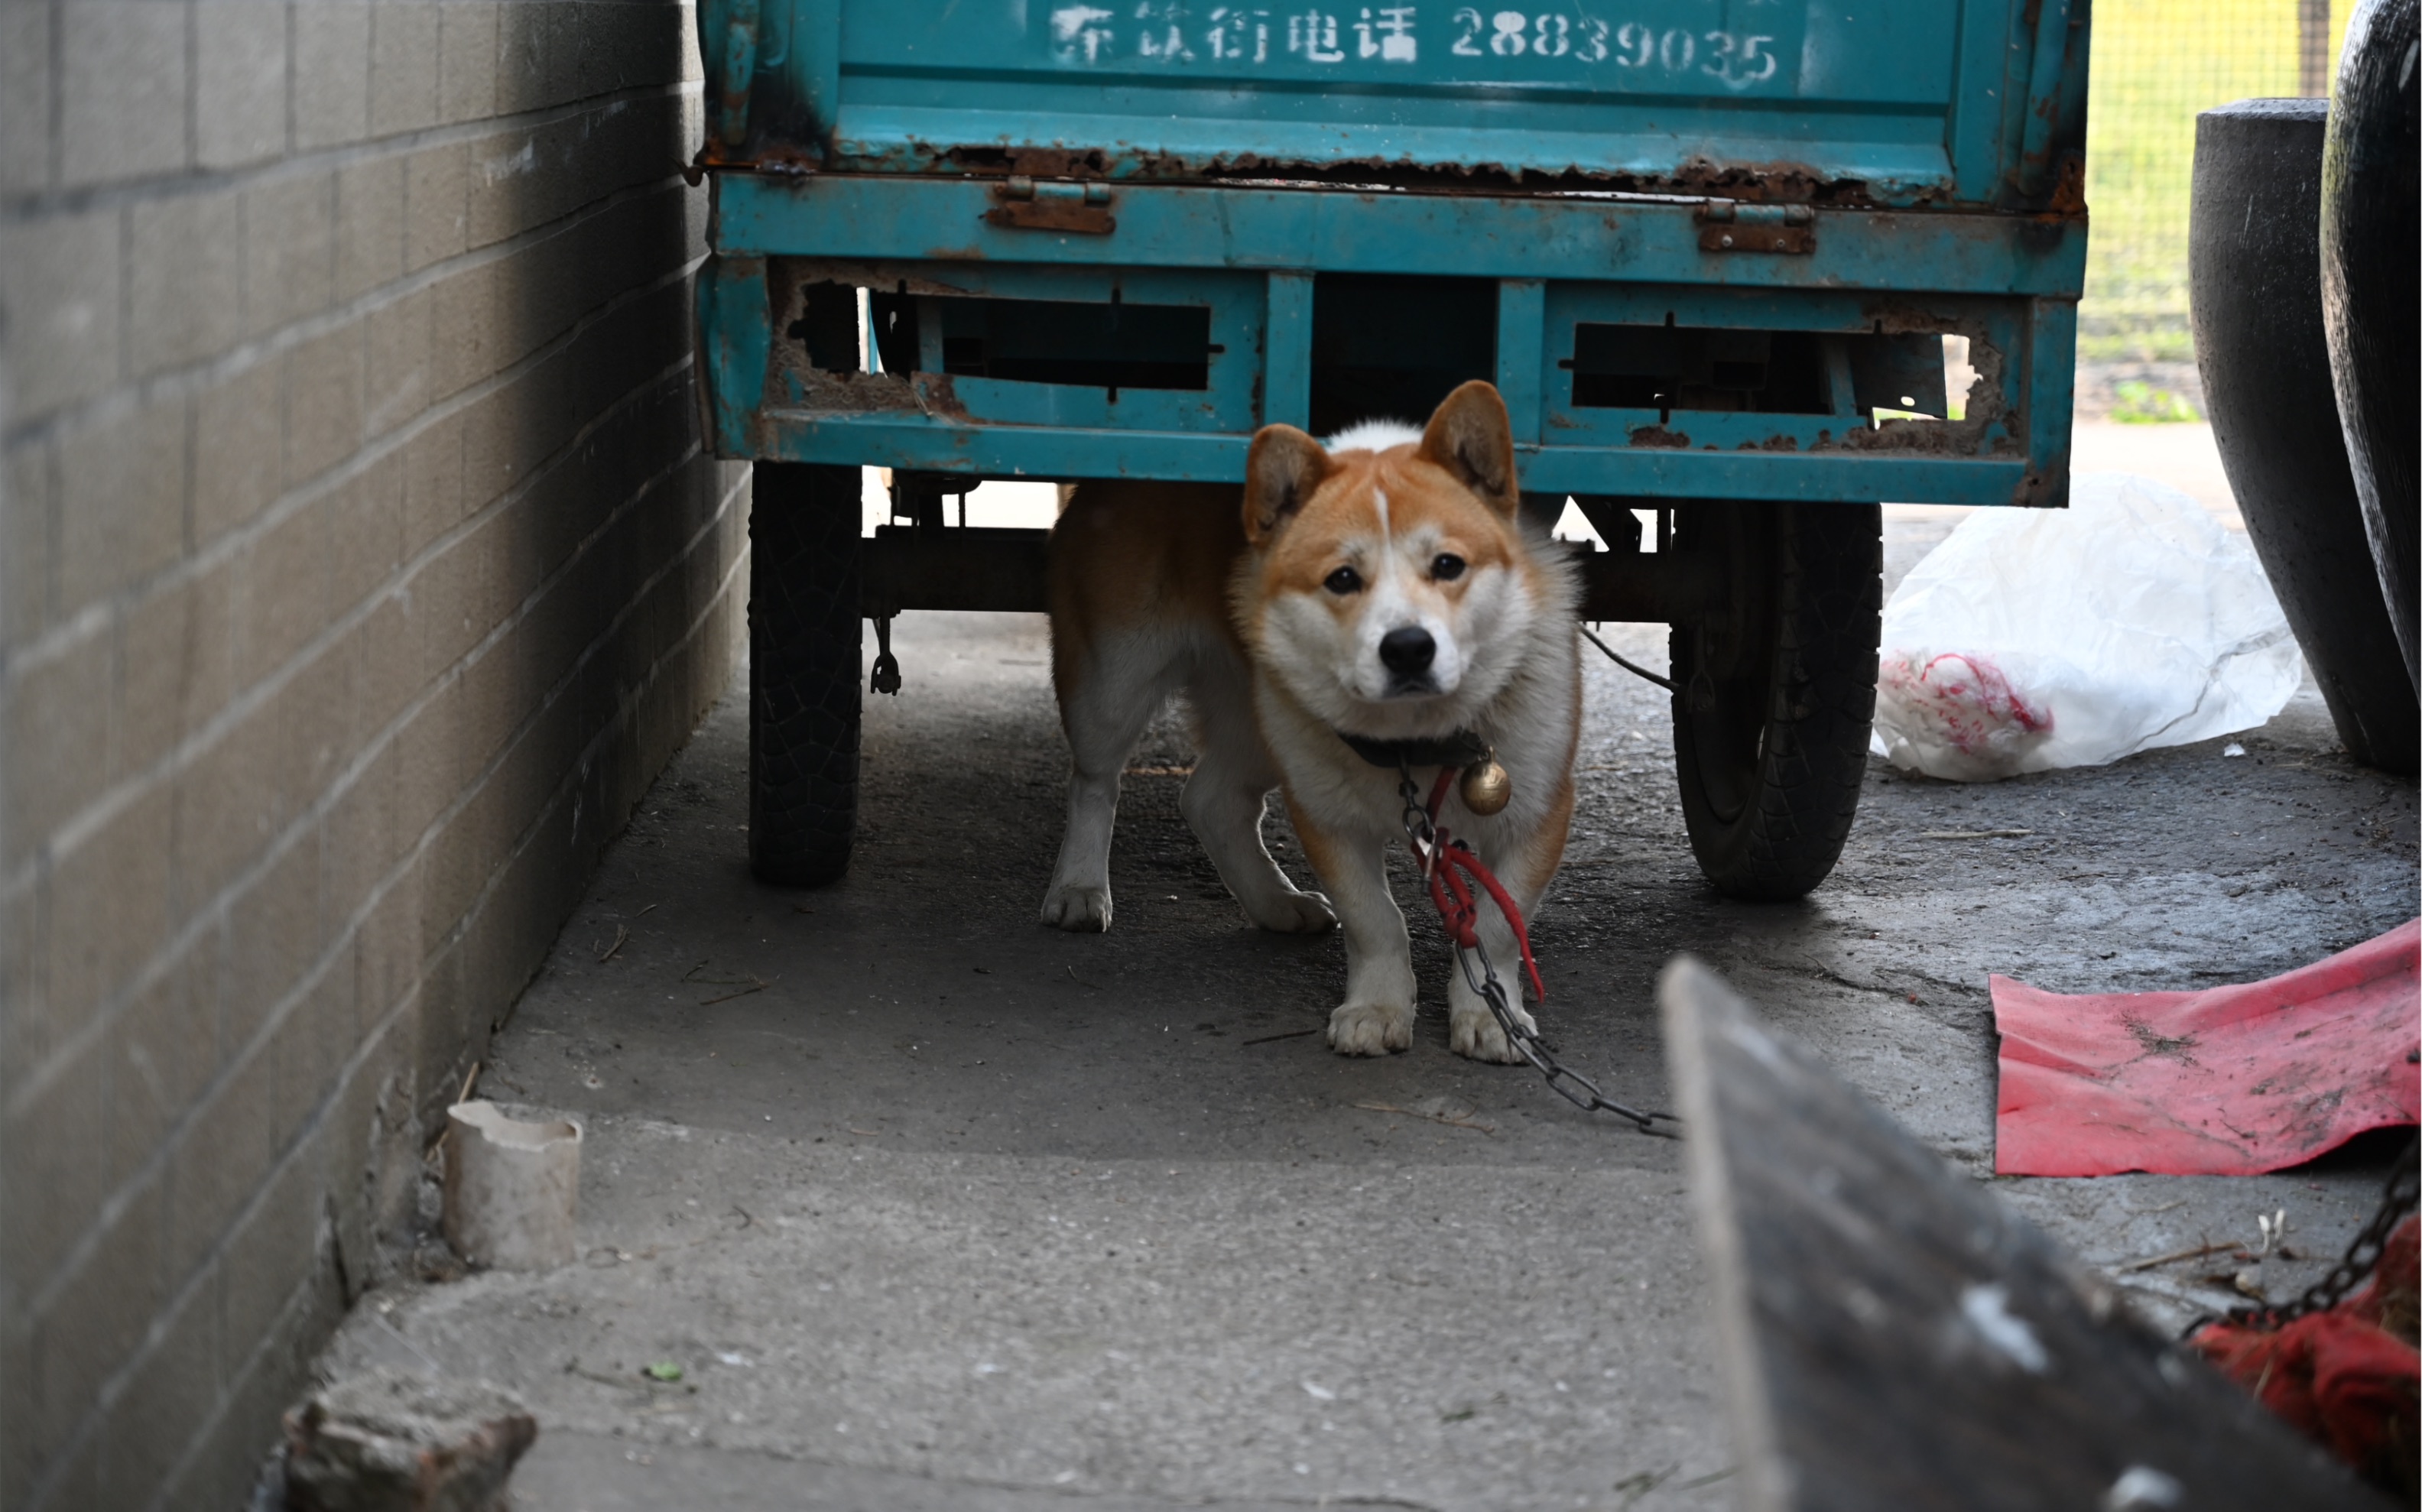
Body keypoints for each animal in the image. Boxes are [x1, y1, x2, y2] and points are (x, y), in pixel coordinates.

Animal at [1046, 378, 1589, 1061]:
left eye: (1449, 565)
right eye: (1342, 579)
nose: (1407, 648)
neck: (1412, 738)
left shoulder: (1539, 811)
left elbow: (1496, 927)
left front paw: (1492, 1018)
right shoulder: (1328, 818)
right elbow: (1376, 921)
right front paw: (1378, 1009)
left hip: (1259, 716)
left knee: (1212, 799)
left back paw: (1276, 903)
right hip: (1114, 682)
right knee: (1095, 781)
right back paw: (1079, 887)